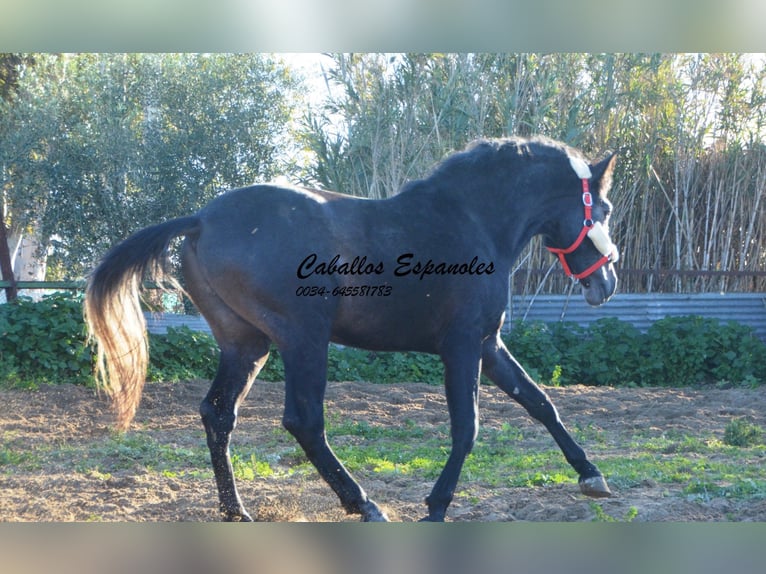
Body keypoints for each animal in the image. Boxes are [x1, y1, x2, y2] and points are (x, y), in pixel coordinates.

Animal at [85, 136, 624, 520]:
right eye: (604, 209)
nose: (607, 282)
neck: (473, 222)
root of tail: (200, 219)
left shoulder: (488, 344)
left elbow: (540, 402)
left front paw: (592, 477)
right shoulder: (462, 345)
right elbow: (467, 427)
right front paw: (435, 508)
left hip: (246, 345)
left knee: (218, 414)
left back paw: (237, 511)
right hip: (303, 339)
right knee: (304, 422)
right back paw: (364, 505)